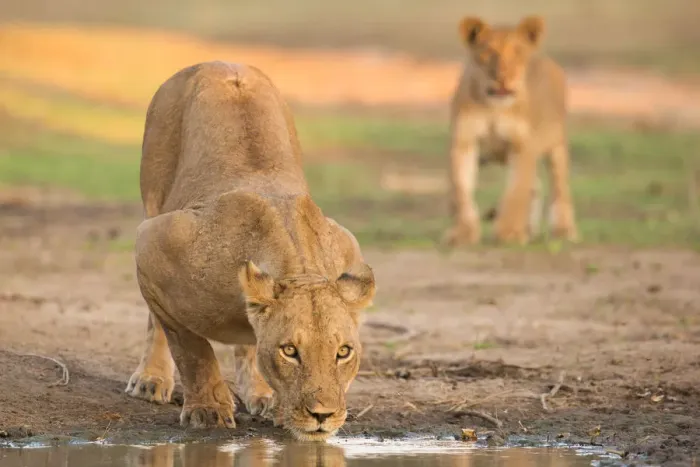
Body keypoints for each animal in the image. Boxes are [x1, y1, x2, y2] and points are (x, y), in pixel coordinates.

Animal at [124, 61, 376, 442]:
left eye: (343, 352)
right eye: (290, 351)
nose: (323, 415)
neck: (298, 266)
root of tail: (217, 62)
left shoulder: (346, 246)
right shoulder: (154, 242)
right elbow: (190, 346)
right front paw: (208, 410)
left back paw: (262, 394)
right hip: (153, 196)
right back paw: (151, 379)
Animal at [442, 15, 578, 246]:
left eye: (518, 52)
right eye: (488, 52)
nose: (503, 78)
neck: (494, 107)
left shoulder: (522, 146)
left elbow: (516, 191)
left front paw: (510, 233)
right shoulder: (464, 143)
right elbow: (461, 191)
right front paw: (463, 234)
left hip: (556, 145)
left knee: (559, 188)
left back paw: (563, 229)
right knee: (536, 185)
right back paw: (530, 229)